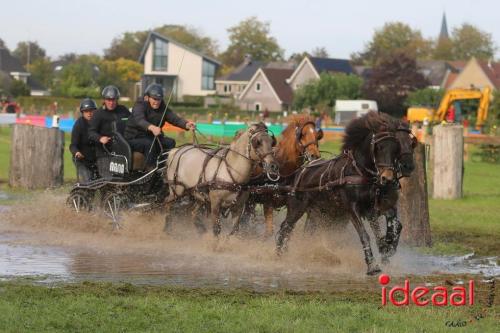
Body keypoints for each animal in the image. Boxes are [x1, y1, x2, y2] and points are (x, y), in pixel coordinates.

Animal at [278, 110, 402, 274]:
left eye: (396, 148)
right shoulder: (352, 208)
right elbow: (364, 235)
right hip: (297, 208)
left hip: (319, 212)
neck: (358, 171)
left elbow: (379, 233)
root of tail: (302, 170)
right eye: (379, 147)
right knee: (285, 228)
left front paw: (386, 248)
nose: (387, 178)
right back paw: (281, 255)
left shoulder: (370, 208)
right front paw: (372, 265)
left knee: (306, 231)